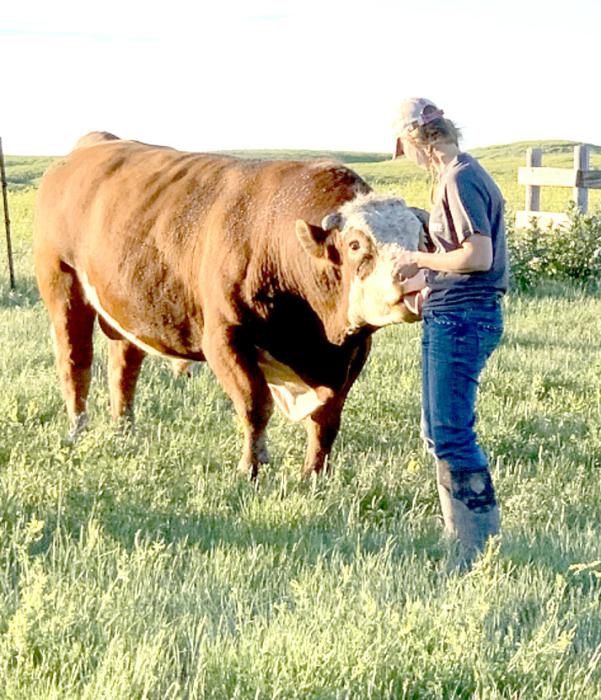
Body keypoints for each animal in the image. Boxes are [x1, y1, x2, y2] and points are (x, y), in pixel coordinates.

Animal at [33, 133, 426, 477]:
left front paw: (314, 475)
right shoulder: (225, 337)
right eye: (356, 244)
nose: (412, 279)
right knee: (76, 361)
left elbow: (327, 418)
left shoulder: (354, 350)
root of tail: (89, 147)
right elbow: (255, 405)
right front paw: (252, 468)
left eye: (420, 240)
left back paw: (124, 430)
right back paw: (78, 431)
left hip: (127, 306)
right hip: (63, 287)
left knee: (123, 367)